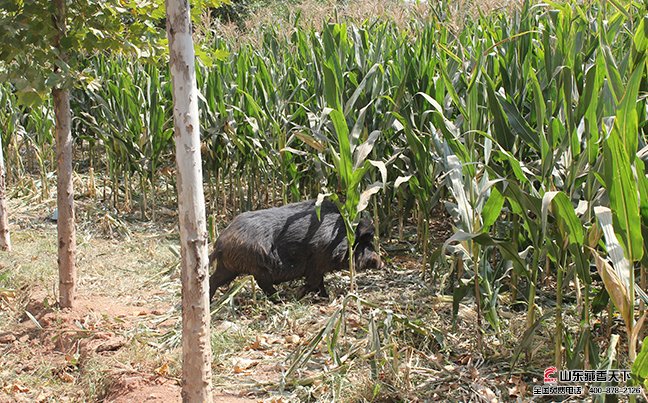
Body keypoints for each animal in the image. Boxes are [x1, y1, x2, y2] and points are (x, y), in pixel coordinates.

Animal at [208, 200, 380, 302]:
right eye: (367, 242)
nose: (380, 262)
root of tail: (220, 242)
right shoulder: (317, 260)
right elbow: (314, 281)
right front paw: (298, 295)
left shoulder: (318, 265)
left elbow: (320, 283)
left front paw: (325, 297)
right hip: (257, 266)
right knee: (264, 285)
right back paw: (280, 300)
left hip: (228, 267)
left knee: (213, 280)